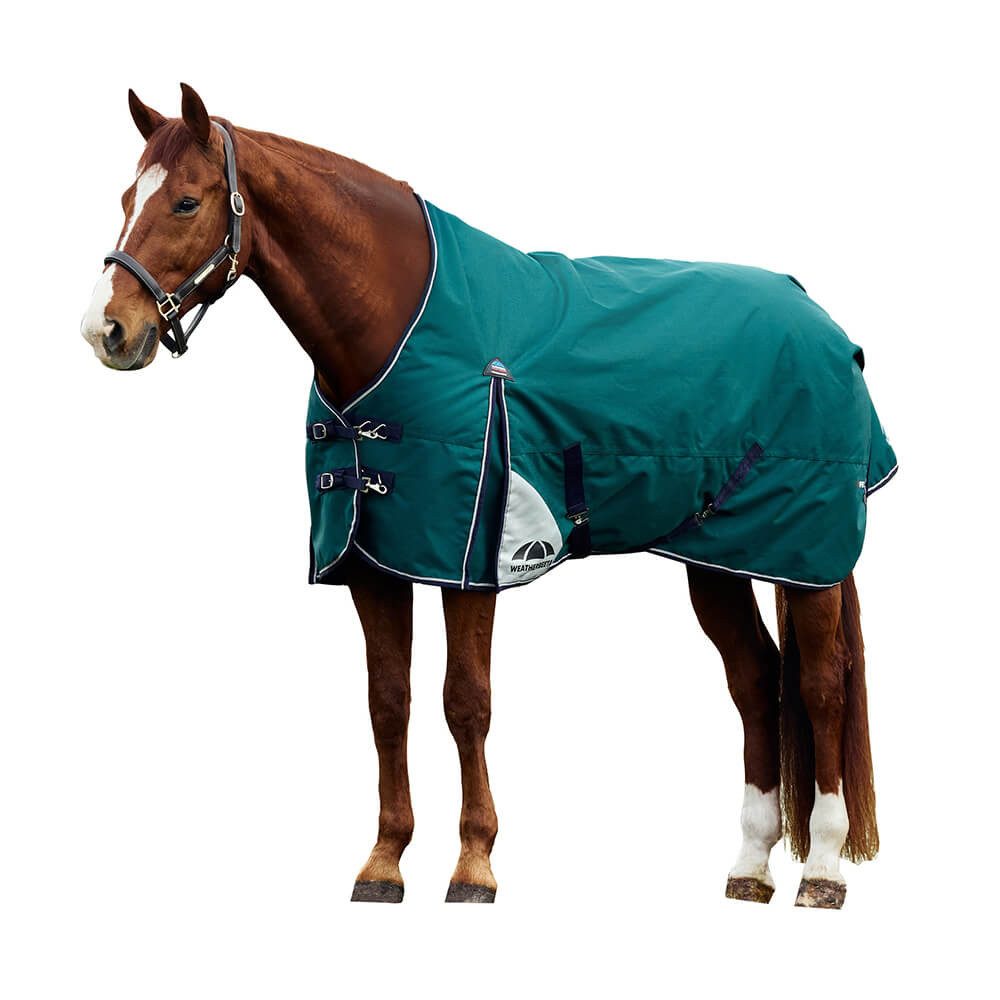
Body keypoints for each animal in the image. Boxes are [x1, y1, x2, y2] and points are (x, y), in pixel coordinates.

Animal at [81, 84, 892, 908]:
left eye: (186, 202)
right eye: (126, 198)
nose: (106, 330)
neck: (396, 327)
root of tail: (820, 318)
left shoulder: (469, 559)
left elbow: (465, 702)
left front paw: (473, 865)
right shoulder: (374, 563)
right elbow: (388, 703)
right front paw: (384, 862)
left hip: (808, 555)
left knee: (821, 686)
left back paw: (822, 871)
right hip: (719, 556)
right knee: (756, 681)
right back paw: (750, 868)